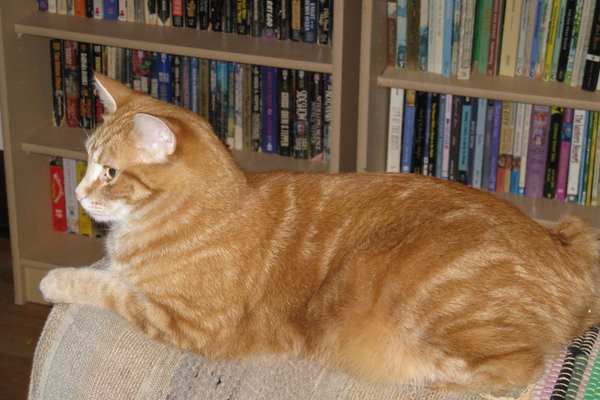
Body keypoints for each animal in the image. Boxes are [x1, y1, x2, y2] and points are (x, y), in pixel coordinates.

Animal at [39, 73, 596, 392]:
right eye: (89, 162)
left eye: (110, 172)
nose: (80, 193)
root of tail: (564, 252)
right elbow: (115, 279)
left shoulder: (191, 323)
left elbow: (109, 287)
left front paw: (56, 280)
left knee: (514, 370)